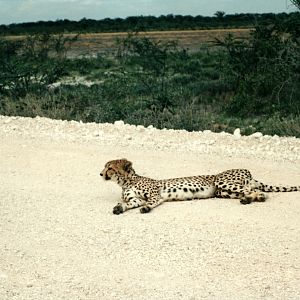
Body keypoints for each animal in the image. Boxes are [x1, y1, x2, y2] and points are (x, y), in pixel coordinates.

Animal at [99, 158, 300, 214]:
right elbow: (128, 203)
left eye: (109, 167)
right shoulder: (136, 199)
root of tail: (248, 171)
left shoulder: (156, 195)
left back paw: (254, 197)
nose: (100, 174)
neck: (127, 181)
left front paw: (147, 208)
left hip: (221, 181)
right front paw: (119, 208)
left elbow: (150, 203)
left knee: (255, 190)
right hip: (223, 192)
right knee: (252, 191)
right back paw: (250, 199)